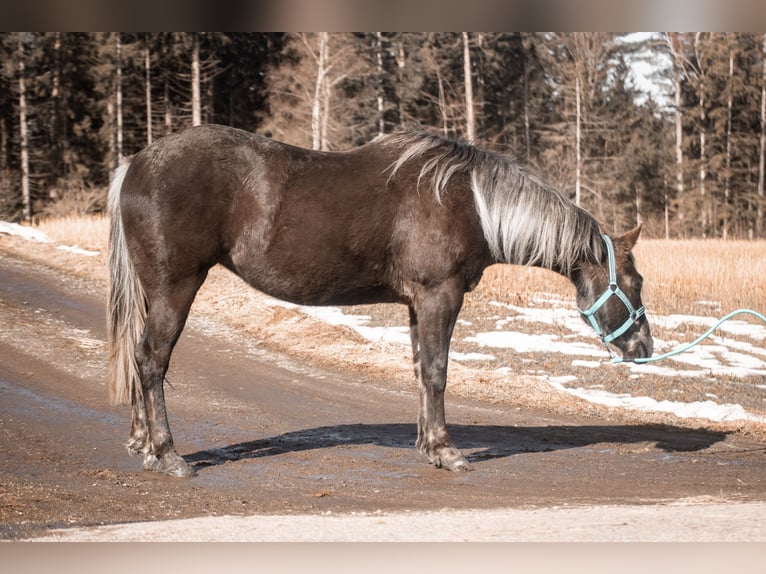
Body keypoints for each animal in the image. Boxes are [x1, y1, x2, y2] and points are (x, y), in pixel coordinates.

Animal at [107, 124, 653, 477]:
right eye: (634, 281)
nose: (644, 348)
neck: (470, 203)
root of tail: (135, 164)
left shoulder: (417, 304)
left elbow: (420, 371)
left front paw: (427, 445)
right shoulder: (439, 297)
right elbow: (437, 371)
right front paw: (447, 452)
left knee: (138, 356)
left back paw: (141, 443)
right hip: (176, 287)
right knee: (151, 360)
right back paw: (167, 454)